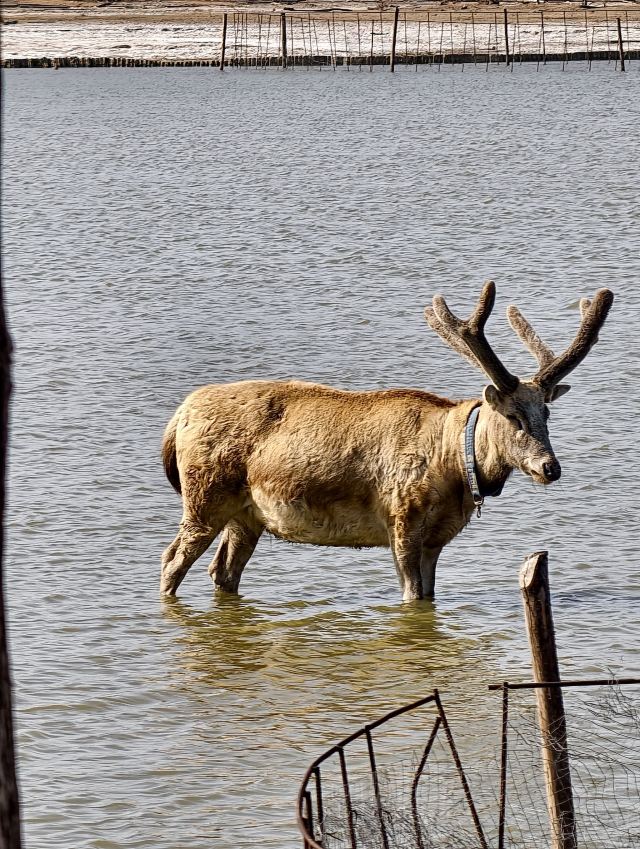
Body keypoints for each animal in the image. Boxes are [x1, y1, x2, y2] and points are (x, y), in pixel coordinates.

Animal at [160, 282, 613, 602]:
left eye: (546, 414)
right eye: (512, 417)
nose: (549, 467)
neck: (452, 465)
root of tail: (178, 417)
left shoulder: (437, 538)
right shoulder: (402, 520)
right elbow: (411, 596)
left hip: (246, 516)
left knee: (222, 571)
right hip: (203, 498)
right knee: (171, 562)